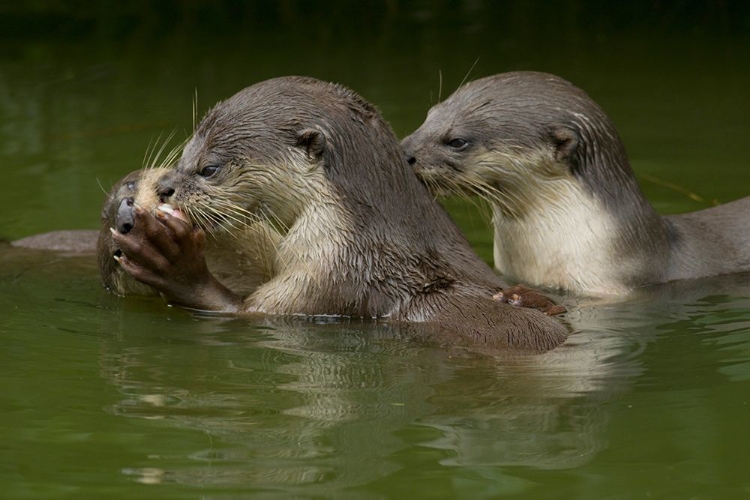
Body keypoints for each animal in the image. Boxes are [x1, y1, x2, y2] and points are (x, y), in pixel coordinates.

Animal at [111, 76, 568, 354]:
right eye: (184, 157)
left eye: (209, 168)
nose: (165, 185)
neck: (358, 229)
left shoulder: (333, 268)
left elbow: (246, 312)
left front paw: (171, 261)